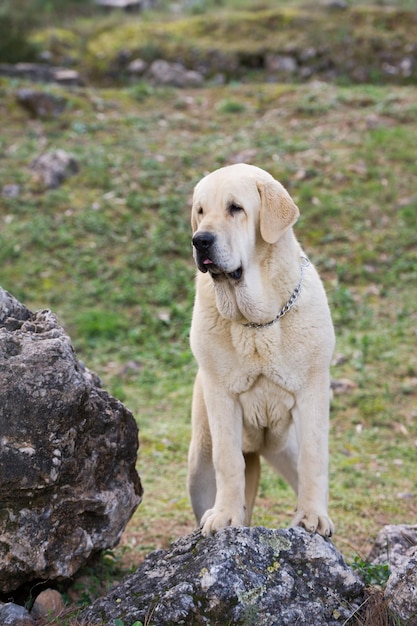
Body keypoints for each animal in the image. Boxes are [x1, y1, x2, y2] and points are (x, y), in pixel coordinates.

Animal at [187, 165, 334, 536]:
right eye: (201, 211)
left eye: (235, 208)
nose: (200, 240)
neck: (257, 322)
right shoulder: (221, 398)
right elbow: (228, 461)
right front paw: (225, 515)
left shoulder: (312, 393)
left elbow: (315, 458)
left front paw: (312, 517)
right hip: (200, 462)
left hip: (287, 448)